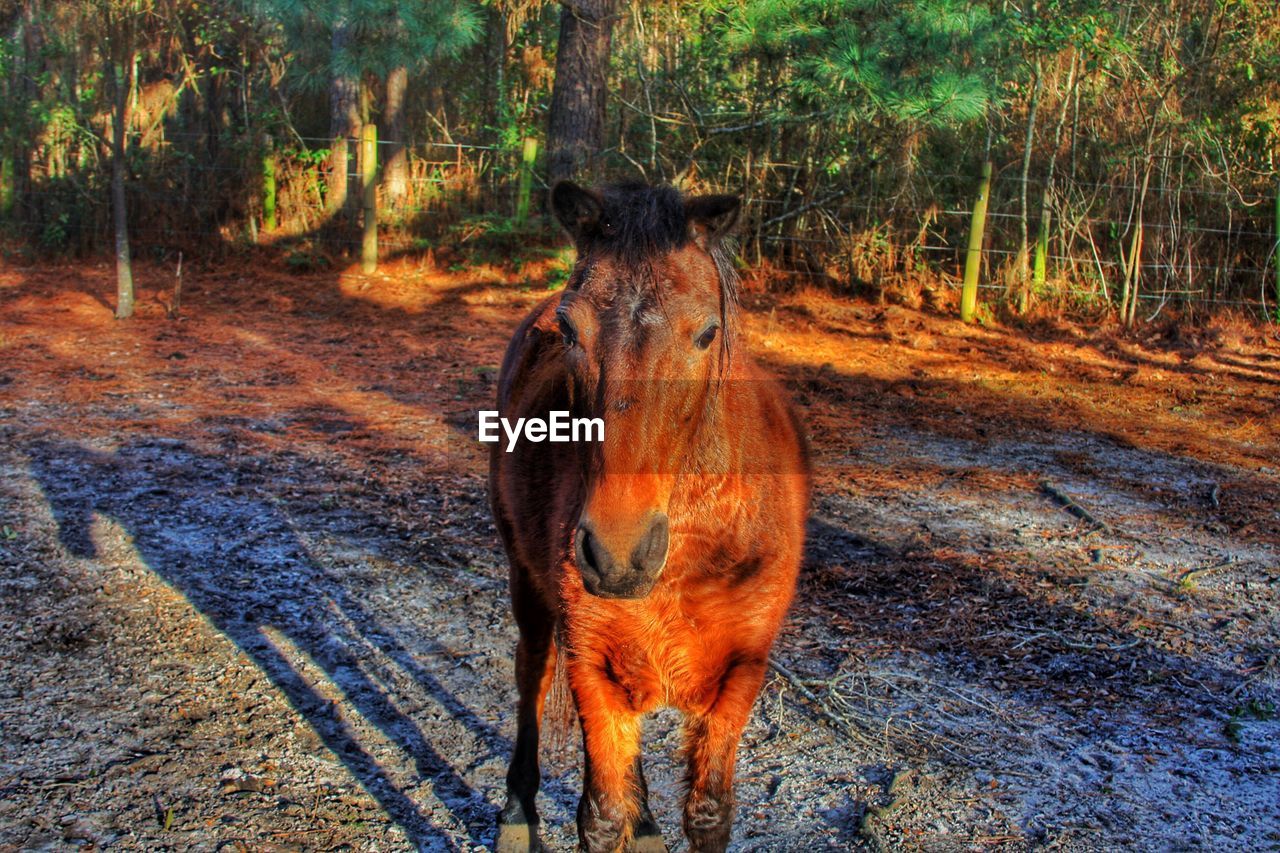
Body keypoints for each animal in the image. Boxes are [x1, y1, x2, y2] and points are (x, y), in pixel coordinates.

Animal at [488, 180, 808, 850]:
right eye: (570, 329)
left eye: (707, 333)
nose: (616, 554)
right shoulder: (590, 668)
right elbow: (600, 815)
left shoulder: (740, 677)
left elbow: (709, 812)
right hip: (526, 585)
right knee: (531, 674)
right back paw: (516, 814)